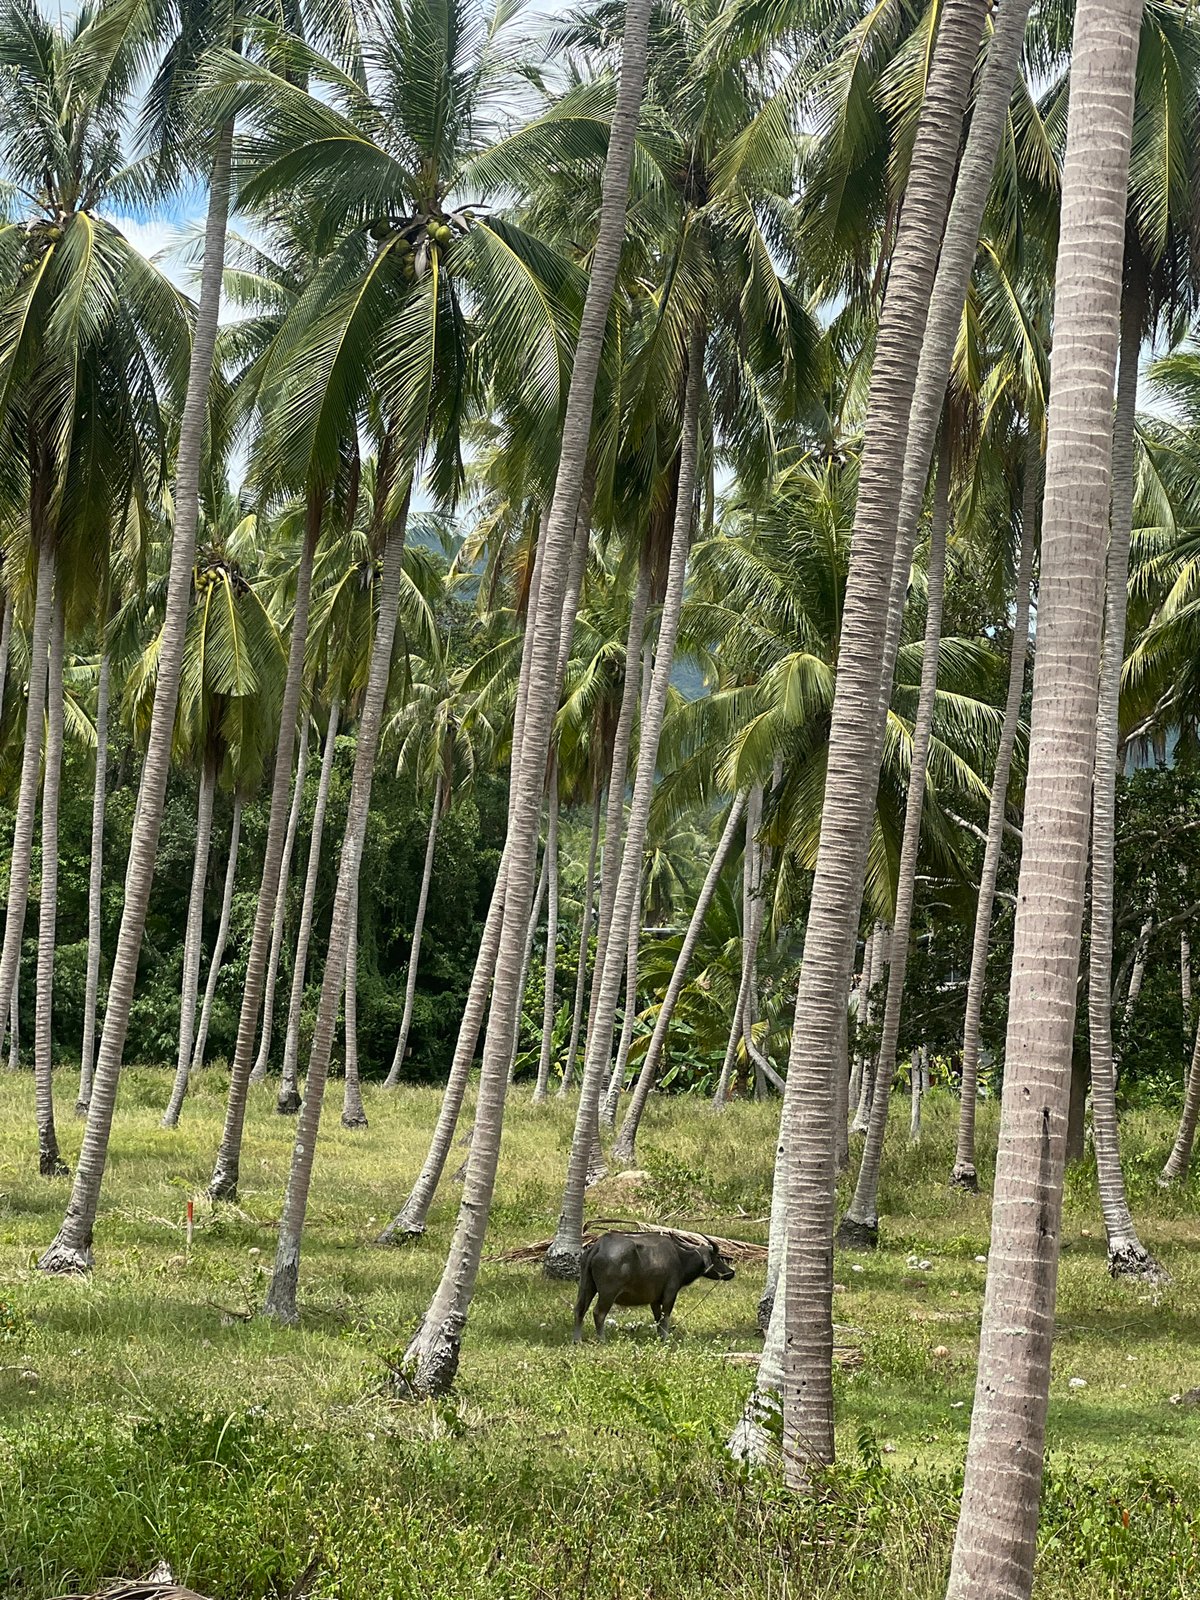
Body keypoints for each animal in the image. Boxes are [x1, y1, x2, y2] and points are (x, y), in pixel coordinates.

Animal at [573, 1230, 735, 1342]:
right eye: (716, 1258)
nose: (731, 1272)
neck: (680, 1259)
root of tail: (599, 1246)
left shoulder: (655, 1300)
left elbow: (657, 1319)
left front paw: (659, 1338)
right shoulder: (670, 1293)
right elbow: (665, 1317)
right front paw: (666, 1338)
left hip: (586, 1286)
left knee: (579, 1309)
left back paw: (577, 1340)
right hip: (608, 1293)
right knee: (598, 1313)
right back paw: (602, 1340)